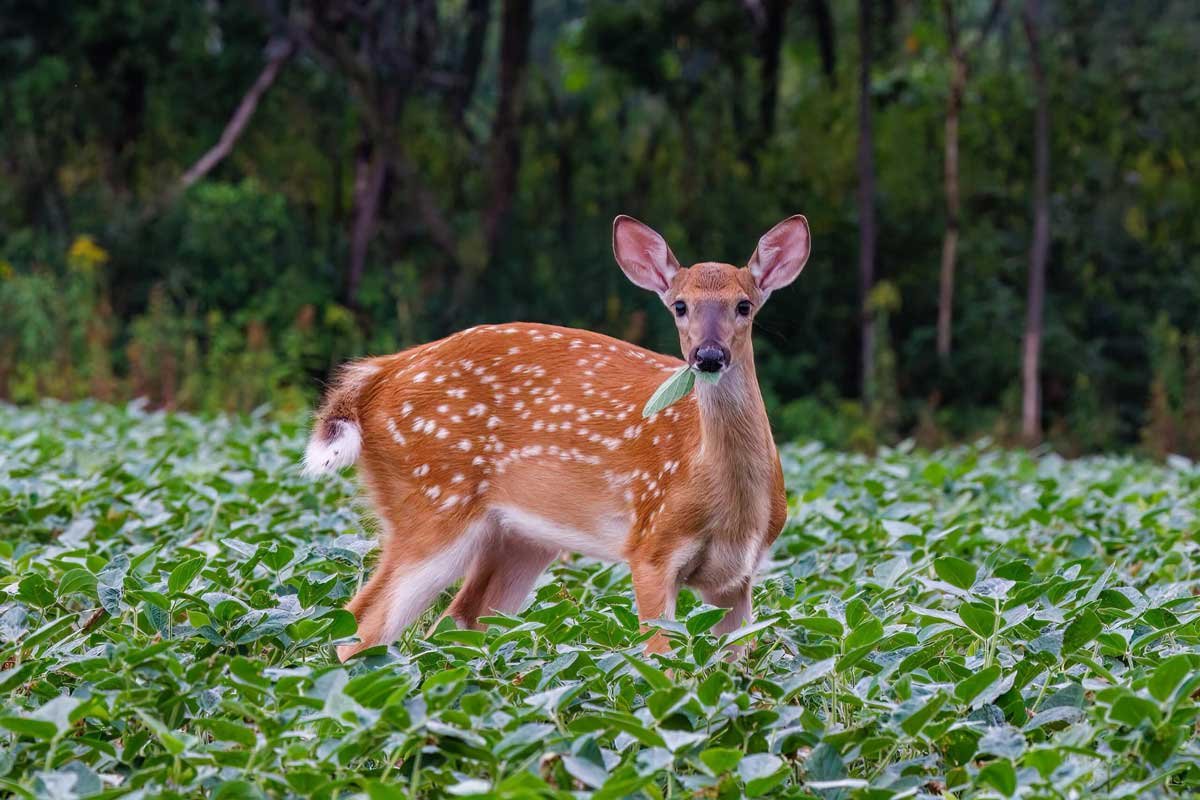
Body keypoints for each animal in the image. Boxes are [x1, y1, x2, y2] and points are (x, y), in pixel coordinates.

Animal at [303, 215, 811, 661]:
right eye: (679, 305)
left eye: (744, 305)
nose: (708, 355)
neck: (729, 504)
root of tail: (376, 376)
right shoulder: (651, 545)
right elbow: (661, 661)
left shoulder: (738, 577)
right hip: (432, 502)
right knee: (363, 623)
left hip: (519, 538)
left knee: (453, 622)